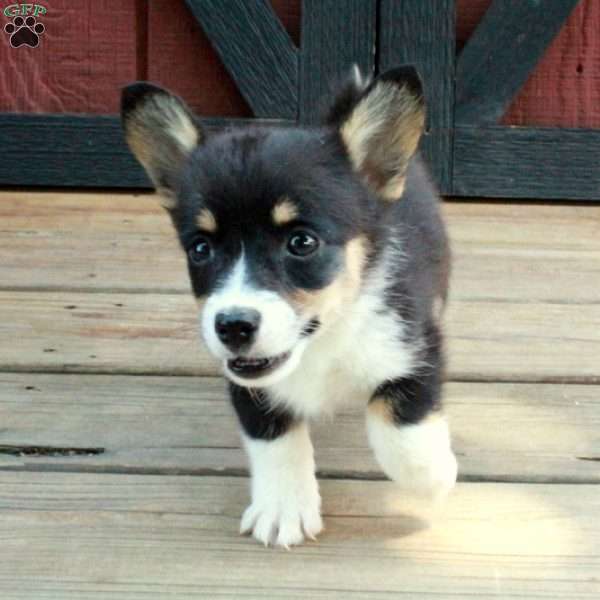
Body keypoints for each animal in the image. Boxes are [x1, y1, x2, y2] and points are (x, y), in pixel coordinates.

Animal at [122, 65, 460, 548]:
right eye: (201, 249)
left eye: (302, 242)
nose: (233, 326)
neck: (318, 345)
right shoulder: (246, 383)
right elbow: (273, 436)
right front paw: (283, 508)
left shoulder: (416, 344)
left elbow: (400, 420)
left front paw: (432, 477)